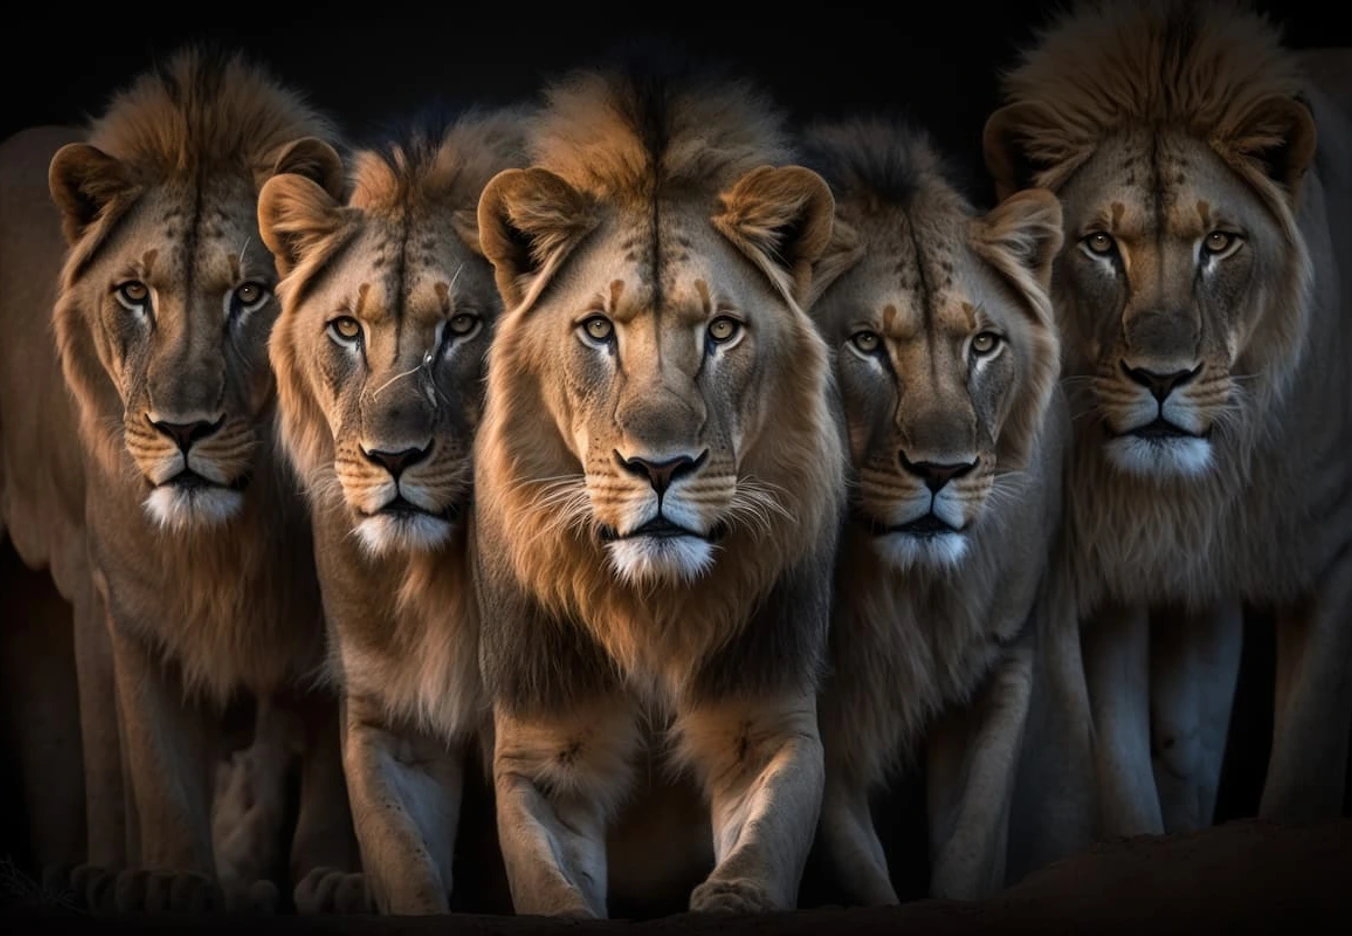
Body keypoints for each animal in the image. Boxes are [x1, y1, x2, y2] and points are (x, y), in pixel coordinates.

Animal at [0, 47, 360, 912]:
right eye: (135, 292)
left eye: (251, 294)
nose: (183, 430)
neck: (229, 534)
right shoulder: (128, 605)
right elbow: (153, 760)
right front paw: (168, 878)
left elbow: (335, 762)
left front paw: (332, 875)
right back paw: (91, 870)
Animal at [257, 108, 532, 915]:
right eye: (347, 329)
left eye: (462, 327)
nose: (394, 457)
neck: (437, 569)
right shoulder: (389, 721)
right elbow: (403, 862)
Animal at [471, 56, 848, 917]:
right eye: (598, 330)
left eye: (721, 331)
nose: (661, 467)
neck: (651, 608)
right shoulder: (544, 753)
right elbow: (547, 883)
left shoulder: (768, 726)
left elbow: (762, 849)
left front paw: (731, 900)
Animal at [796, 118, 1067, 904]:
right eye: (866, 344)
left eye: (984, 343)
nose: (942, 472)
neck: (907, 589)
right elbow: (856, 865)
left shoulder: (1001, 660)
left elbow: (972, 843)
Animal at [982, 0, 1352, 867]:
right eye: (1099, 244)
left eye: (1217, 242)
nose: (1160, 379)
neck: (1196, 488)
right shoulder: (1109, 578)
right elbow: (1121, 784)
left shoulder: (1332, 556)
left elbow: (1304, 776)